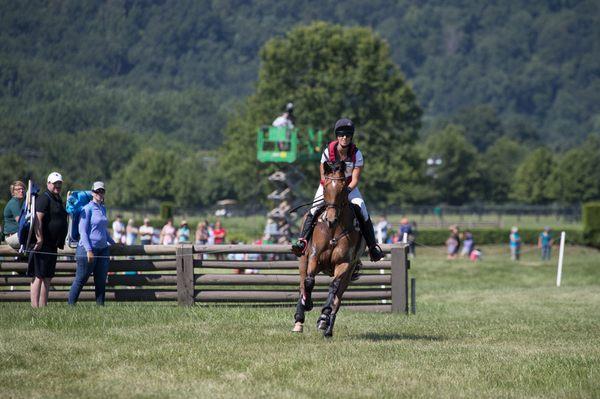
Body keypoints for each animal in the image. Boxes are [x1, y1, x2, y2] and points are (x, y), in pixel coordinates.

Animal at [292, 159, 366, 338]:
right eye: (325, 187)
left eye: (343, 188)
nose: (330, 219)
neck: (333, 230)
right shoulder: (314, 256)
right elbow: (309, 281)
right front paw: (308, 304)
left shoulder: (345, 263)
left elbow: (333, 287)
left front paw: (324, 317)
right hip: (303, 261)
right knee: (303, 284)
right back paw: (299, 320)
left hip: (348, 273)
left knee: (338, 297)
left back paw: (327, 326)